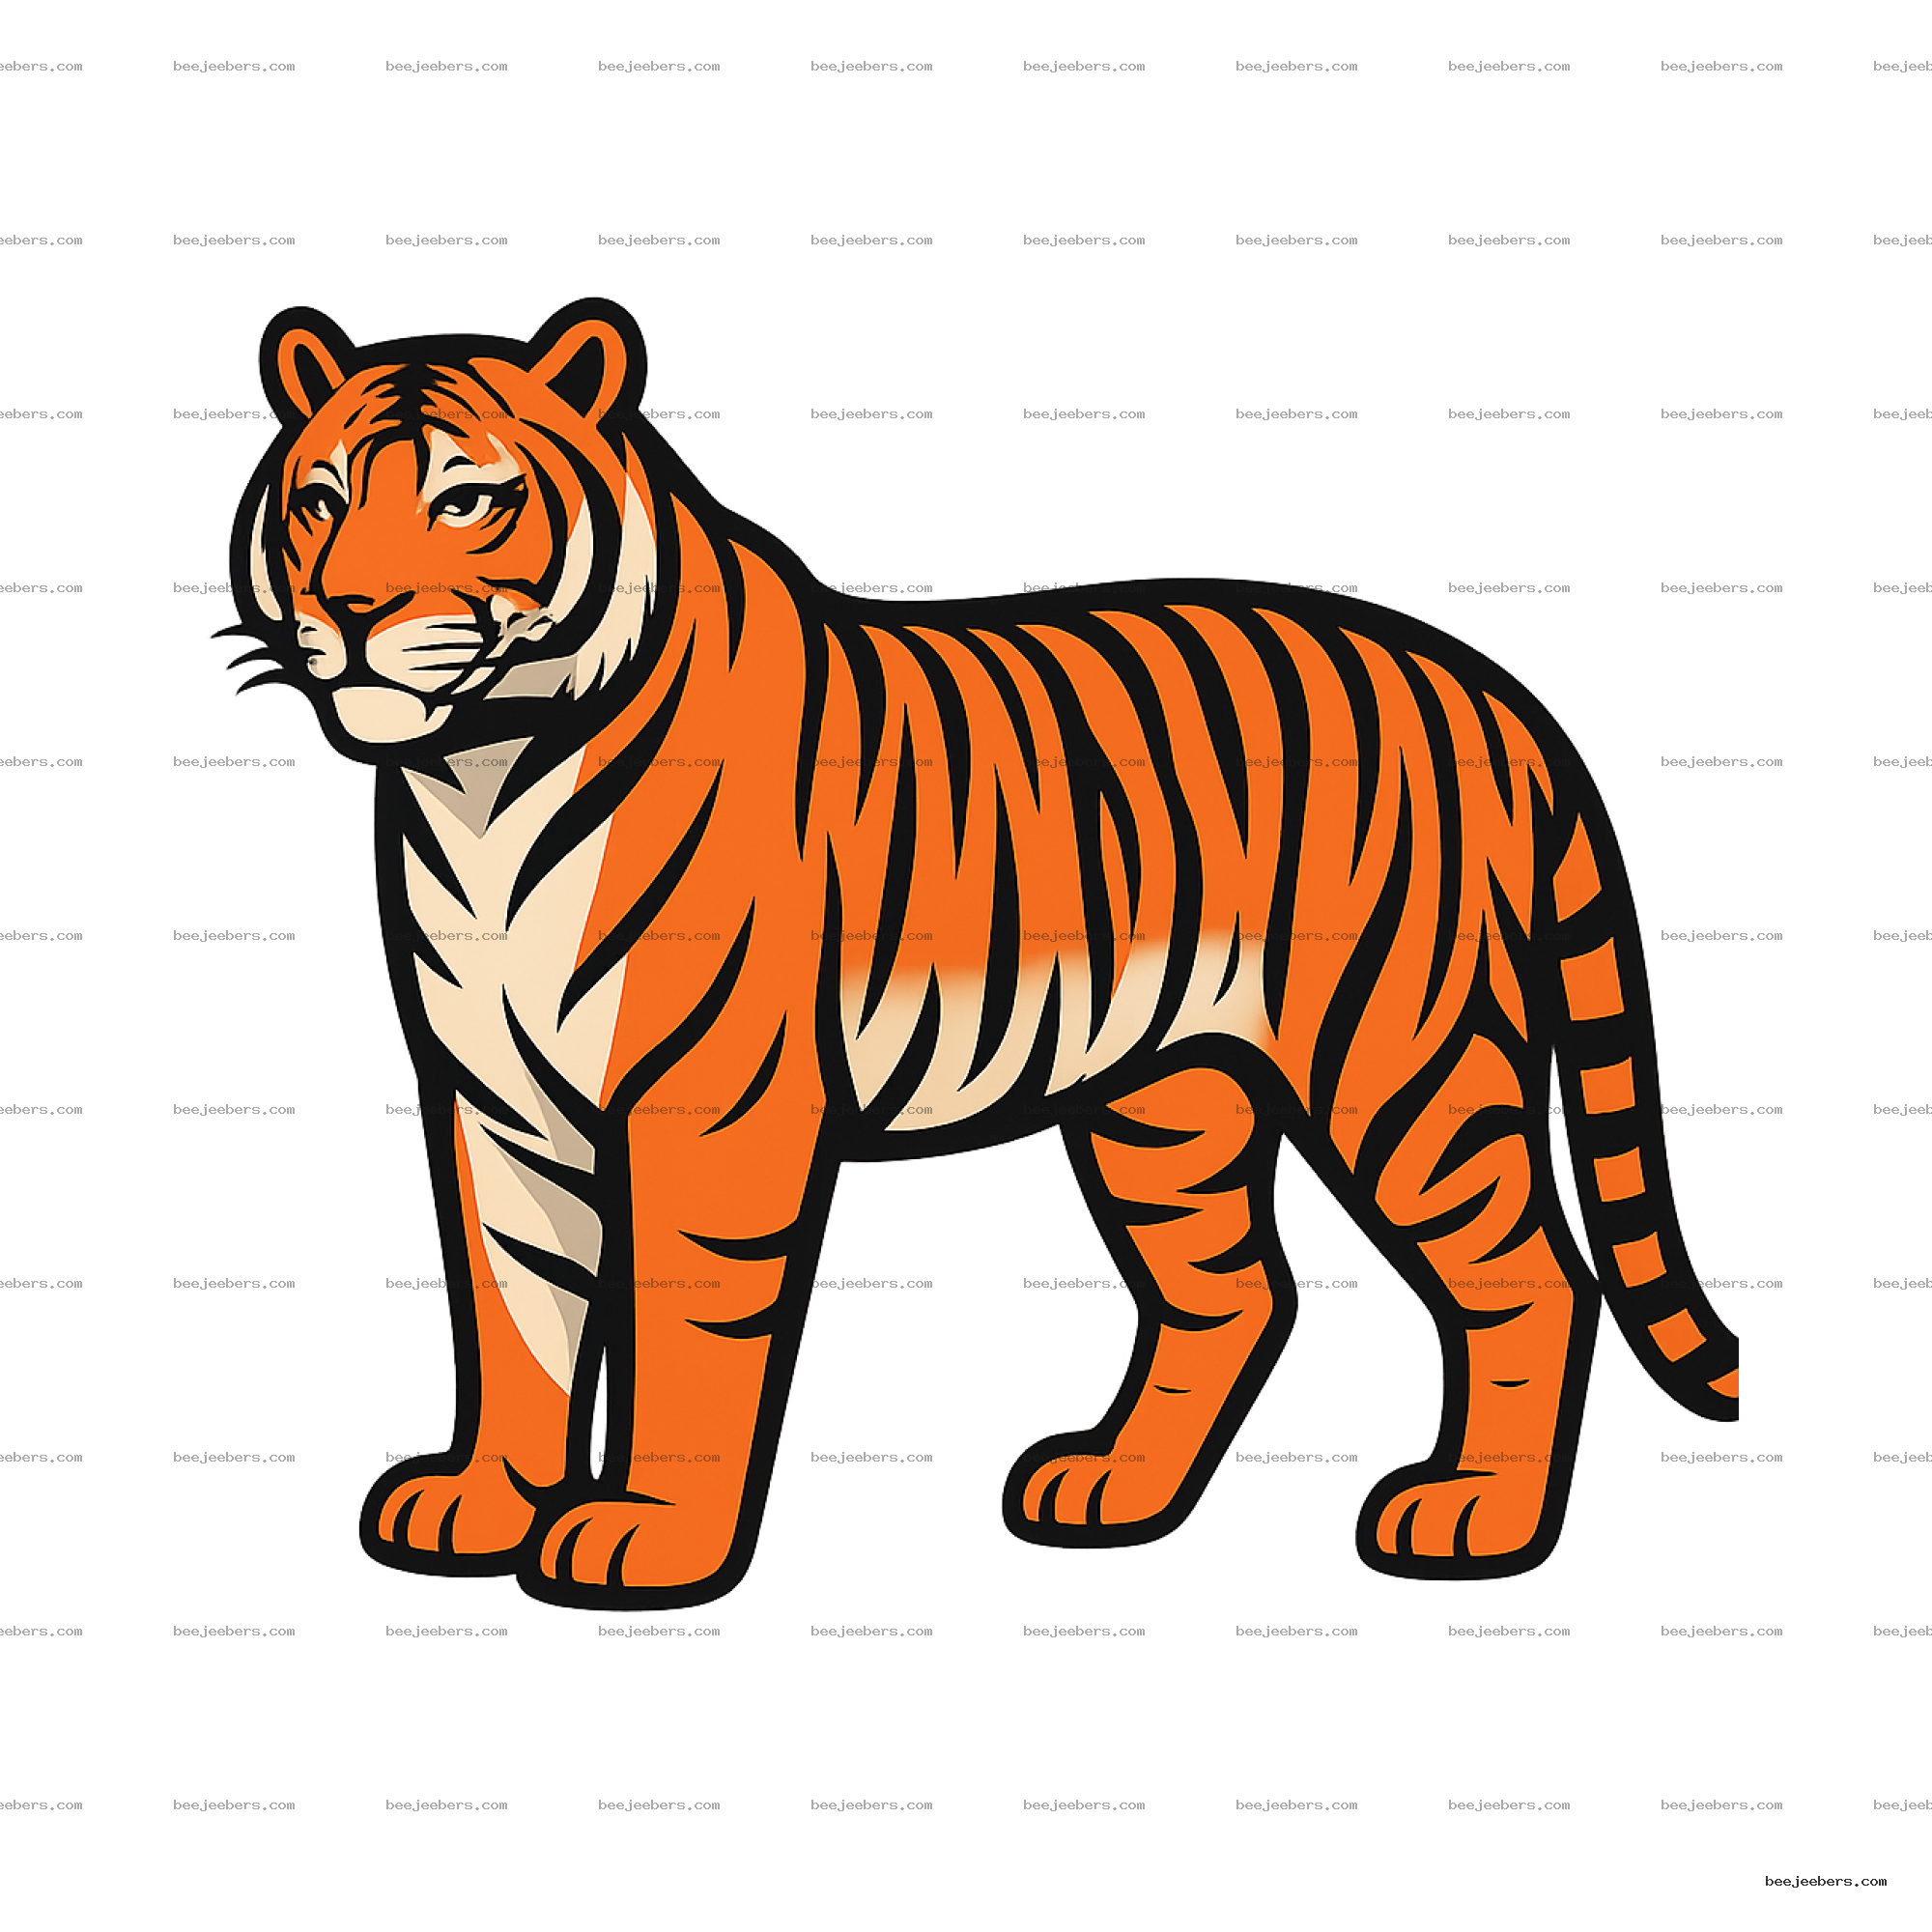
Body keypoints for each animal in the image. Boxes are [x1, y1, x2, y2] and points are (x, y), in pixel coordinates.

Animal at [222, 296, 1739, 1608]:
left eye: (468, 499)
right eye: (321, 500)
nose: (350, 614)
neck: (481, 775)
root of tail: (1474, 686)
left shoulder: (711, 1106)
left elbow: (691, 1334)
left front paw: (647, 1533)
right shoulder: (499, 1105)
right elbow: (519, 1312)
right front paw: (482, 1502)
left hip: (1396, 1053)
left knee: (1530, 1275)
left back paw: (1474, 1513)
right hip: (1161, 1095)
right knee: (1236, 1292)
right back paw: (1115, 1488)